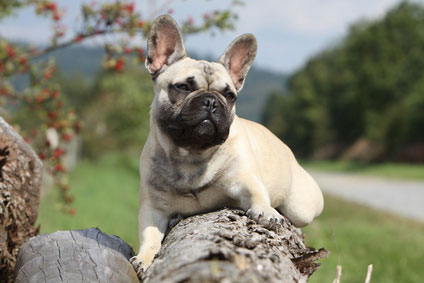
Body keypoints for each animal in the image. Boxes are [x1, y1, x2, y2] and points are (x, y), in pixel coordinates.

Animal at [131, 13, 322, 278]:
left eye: (230, 96)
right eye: (183, 87)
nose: (212, 101)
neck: (191, 155)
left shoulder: (244, 180)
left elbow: (257, 193)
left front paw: (266, 211)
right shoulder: (153, 209)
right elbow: (149, 237)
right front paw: (144, 259)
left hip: (300, 206)